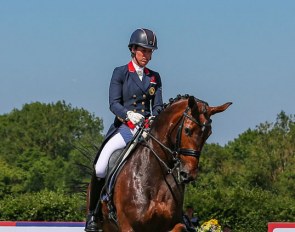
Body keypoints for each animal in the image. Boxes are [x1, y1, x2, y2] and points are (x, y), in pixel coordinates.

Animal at [100, 95, 232, 231]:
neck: (156, 175)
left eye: (208, 134)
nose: (189, 174)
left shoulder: (172, 224)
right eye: (187, 130)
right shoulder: (128, 226)